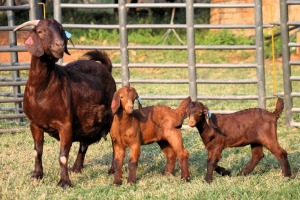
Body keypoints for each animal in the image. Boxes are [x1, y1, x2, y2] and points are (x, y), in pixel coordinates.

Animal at [14, 19, 116, 189]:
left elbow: (62, 156)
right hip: (86, 120)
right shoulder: (34, 123)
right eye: (40, 31)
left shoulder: (65, 124)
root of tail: (106, 68)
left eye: (61, 30)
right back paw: (77, 167)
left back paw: (113, 169)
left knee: (116, 142)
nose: (59, 45)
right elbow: (37, 151)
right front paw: (36, 175)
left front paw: (64, 182)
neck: (43, 89)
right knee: (84, 144)